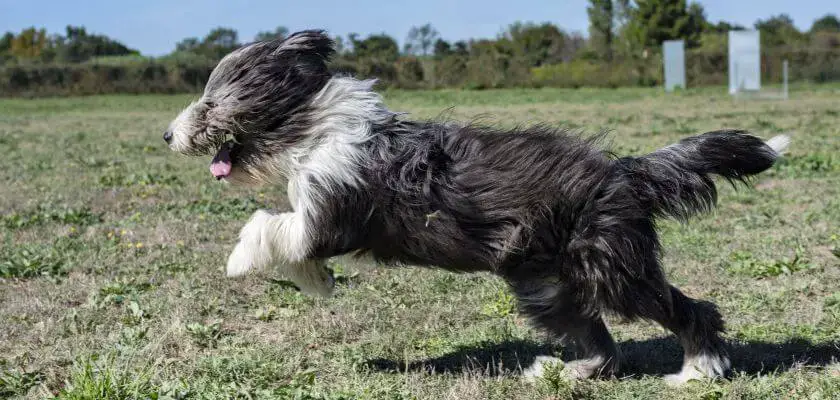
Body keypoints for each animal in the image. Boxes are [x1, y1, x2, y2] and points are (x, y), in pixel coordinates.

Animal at [166, 30, 796, 382]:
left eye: (211, 101)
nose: (169, 135)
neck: (314, 130)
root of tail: (624, 172)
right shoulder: (323, 217)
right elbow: (292, 239)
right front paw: (317, 281)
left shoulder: (333, 212)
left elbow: (271, 226)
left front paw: (240, 261)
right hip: (546, 283)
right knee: (599, 340)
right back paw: (565, 372)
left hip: (611, 267)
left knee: (691, 308)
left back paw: (698, 370)